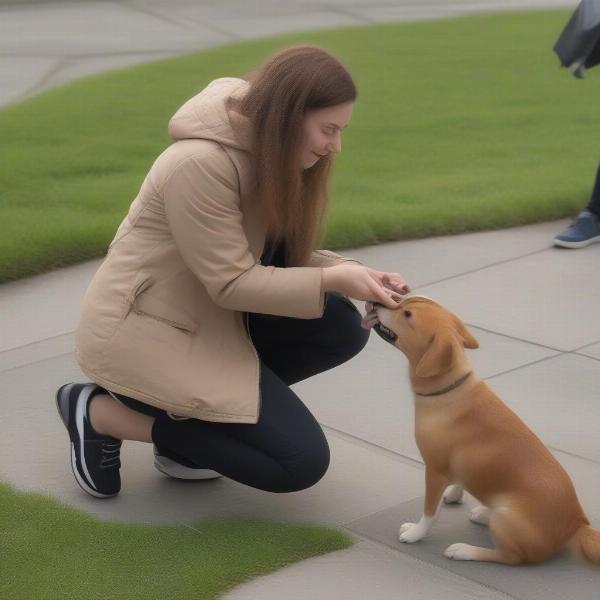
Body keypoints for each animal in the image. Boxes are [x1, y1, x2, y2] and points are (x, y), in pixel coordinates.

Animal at [360, 296, 600, 568]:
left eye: (408, 314)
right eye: (406, 301)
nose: (376, 302)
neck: (448, 389)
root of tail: (577, 526)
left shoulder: (434, 470)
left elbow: (430, 512)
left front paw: (415, 533)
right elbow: (459, 481)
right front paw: (454, 493)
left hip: (506, 520)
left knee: (511, 557)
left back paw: (464, 550)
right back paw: (483, 513)